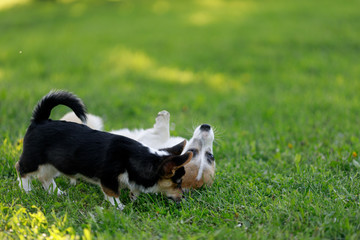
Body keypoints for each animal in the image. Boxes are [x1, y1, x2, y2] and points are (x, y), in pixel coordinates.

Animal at [15, 91, 193, 209]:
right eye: (177, 183)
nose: (184, 198)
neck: (136, 159)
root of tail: (41, 120)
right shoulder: (108, 179)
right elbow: (113, 194)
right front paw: (120, 208)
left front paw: (133, 198)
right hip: (33, 159)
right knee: (21, 169)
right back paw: (26, 190)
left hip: (55, 163)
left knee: (44, 177)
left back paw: (57, 193)